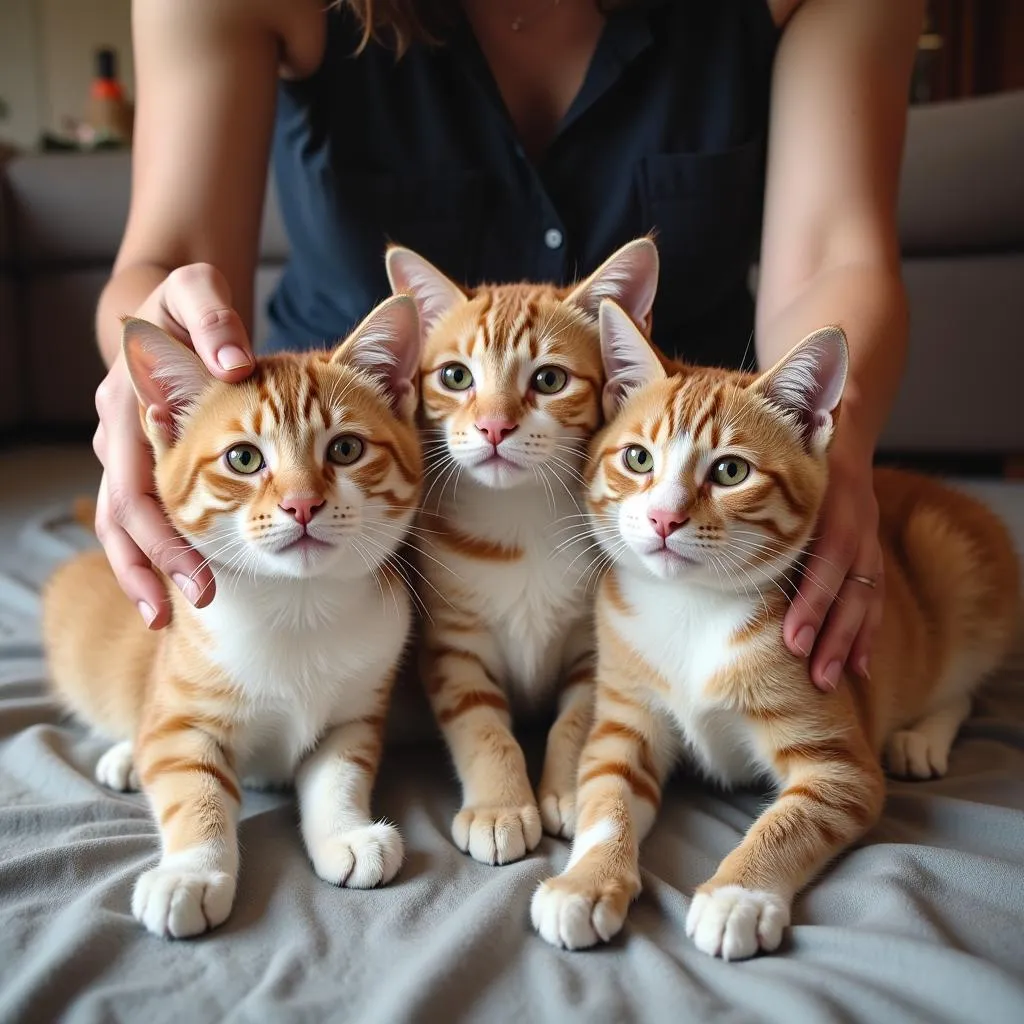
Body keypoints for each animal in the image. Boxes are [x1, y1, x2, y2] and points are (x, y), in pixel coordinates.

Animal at [41, 296, 421, 937]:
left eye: (345, 449)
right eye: (243, 458)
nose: (302, 503)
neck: (298, 608)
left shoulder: (358, 713)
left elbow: (340, 772)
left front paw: (344, 834)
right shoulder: (181, 717)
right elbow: (193, 787)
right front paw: (191, 873)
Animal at [387, 237, 659, 864]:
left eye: (551, 379)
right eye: (455, 376)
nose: (493, 426)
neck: (521, 523)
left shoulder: (593, 644)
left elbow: (578, 720)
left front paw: (568, 790)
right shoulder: (454, 645)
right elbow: (484, 728)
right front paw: (499, 806)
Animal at [532, 303, 1019, 958]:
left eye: (730, 470)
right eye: (638, 459)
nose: (663, 518)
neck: (691, 608)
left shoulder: (840, 767)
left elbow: (792, 822)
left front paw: (737, 895)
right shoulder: (622, 723)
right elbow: (604, 798)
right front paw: (585, 881)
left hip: (952, 562)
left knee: (963, 683)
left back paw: (922, 737)